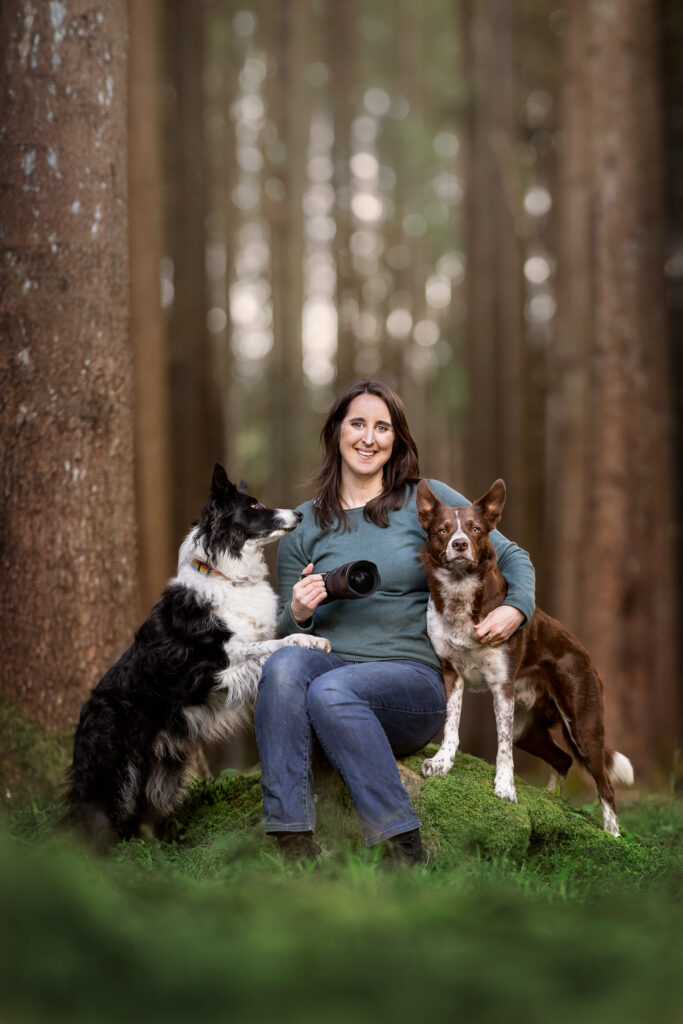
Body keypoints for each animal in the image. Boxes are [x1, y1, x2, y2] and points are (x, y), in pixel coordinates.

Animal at [66, 464, 327, 847]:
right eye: (252, 507)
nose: (298, 514)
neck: (226, 575)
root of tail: (83, 717)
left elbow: (268, 639)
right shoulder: (213, 668)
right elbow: (268, 647)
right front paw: (306, 641)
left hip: (164, 770)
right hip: (114, 769)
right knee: (89, 818)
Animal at [417, 475, 634, 835]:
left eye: (475, 529)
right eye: (443, 530)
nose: (459, 545)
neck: (462, 594)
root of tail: (585, 654)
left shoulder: (502, 686)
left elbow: (502, 747)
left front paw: (505, 789)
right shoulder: (452, 673)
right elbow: (451, 725)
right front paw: (442, 763)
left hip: (583, 724)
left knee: (605, 783)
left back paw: (613, 834)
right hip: (529, 730)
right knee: (563, 758)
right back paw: (551, 799)